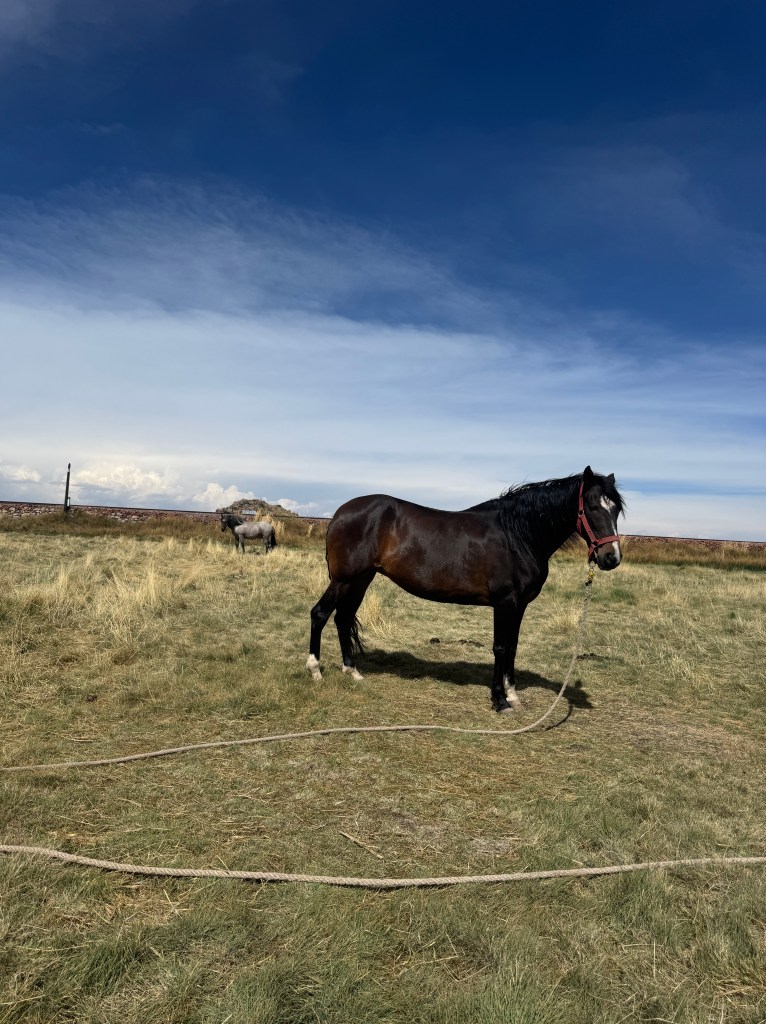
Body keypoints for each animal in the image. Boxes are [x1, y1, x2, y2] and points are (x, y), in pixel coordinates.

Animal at [306, 466, 623, 713]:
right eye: (593, 506)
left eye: (617, 509)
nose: (611, 558)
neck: (517, 535)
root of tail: (339, 513)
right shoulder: (505, 602)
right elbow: (500, 647)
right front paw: (499, 701)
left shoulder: (519, 605)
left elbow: (512, 647)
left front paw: (512, 695)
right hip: (344, 580)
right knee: (320, 614)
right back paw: (315, 671)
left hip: (361, 579)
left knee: (342, 618)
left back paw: (352, 671)